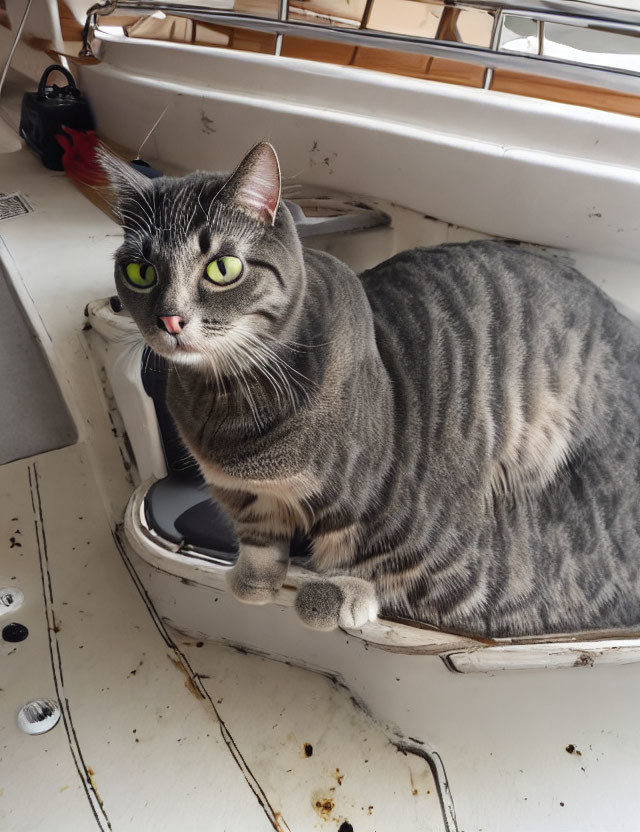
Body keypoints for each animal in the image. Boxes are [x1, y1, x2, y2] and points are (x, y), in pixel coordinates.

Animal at [101, 143, 640, 636]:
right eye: (141, 272)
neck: (225, 396)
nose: (169, 319)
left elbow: (392, 564)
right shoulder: (238, 492)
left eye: (222, 268)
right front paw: (255, 579)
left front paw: (336, 593)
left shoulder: (396, 511)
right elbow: (258, 537)